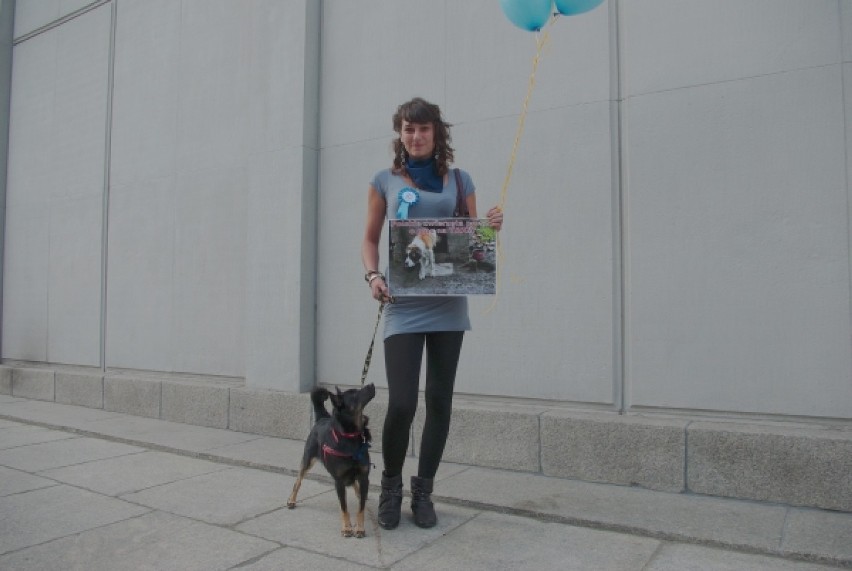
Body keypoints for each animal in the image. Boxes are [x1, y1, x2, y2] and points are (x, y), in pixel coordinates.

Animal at [288, 382, 374, 540]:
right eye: (355, 394)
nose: (371, 384)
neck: (350, 437)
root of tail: (322, 418)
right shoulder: (339, 481)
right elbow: (344, 507)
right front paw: (346, 527)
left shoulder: (364, 476)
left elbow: (361, 508)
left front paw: (359, 528)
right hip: (308, 460)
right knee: (298, 481)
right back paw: (291, 499)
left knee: (355, 486)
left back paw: (360, 494)